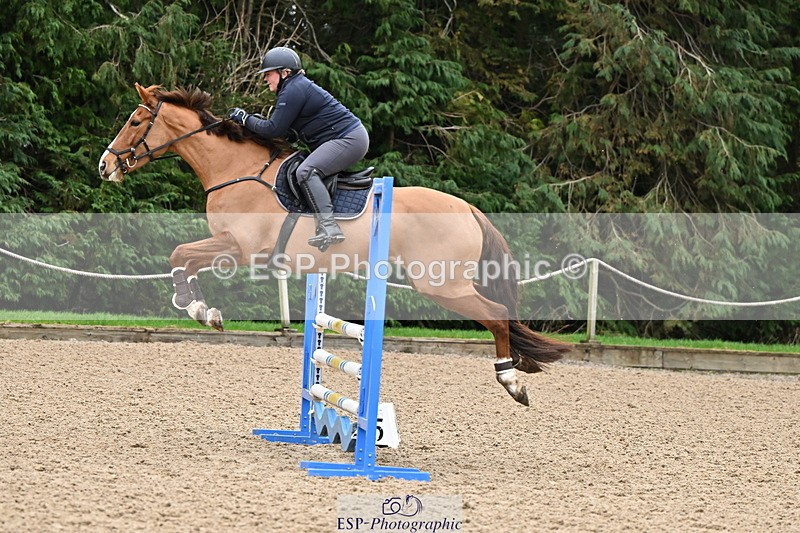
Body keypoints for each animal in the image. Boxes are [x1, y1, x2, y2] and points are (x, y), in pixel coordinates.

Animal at [98, 83, 571, 405]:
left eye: (135, 122)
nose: (105, 166)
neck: (234, 169)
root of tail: (469, 208)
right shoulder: (231, 247)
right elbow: (184, 259)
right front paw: (203, 310)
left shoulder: (238, 248)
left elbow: (180, 255)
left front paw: (196, 307)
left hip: (441, 284)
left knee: (496, 315)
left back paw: (511, 380)